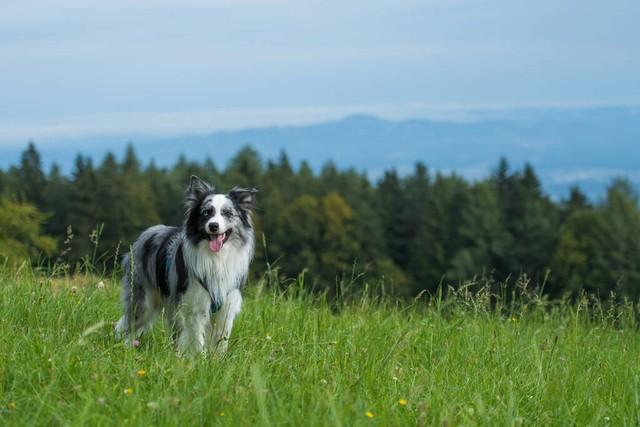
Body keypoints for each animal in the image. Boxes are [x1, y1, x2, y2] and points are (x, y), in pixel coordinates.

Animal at [116, 176, 256, 354]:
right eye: (206, 212)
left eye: (227, 213)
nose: (213, 226)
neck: (216, 258)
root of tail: (146, 233)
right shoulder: (195, 306)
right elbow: (197, 339)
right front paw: (199, 359)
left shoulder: (226, 307)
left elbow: (220, 340)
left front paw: (218, 359)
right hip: (143, 300)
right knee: (128, 324)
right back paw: (126, 347)